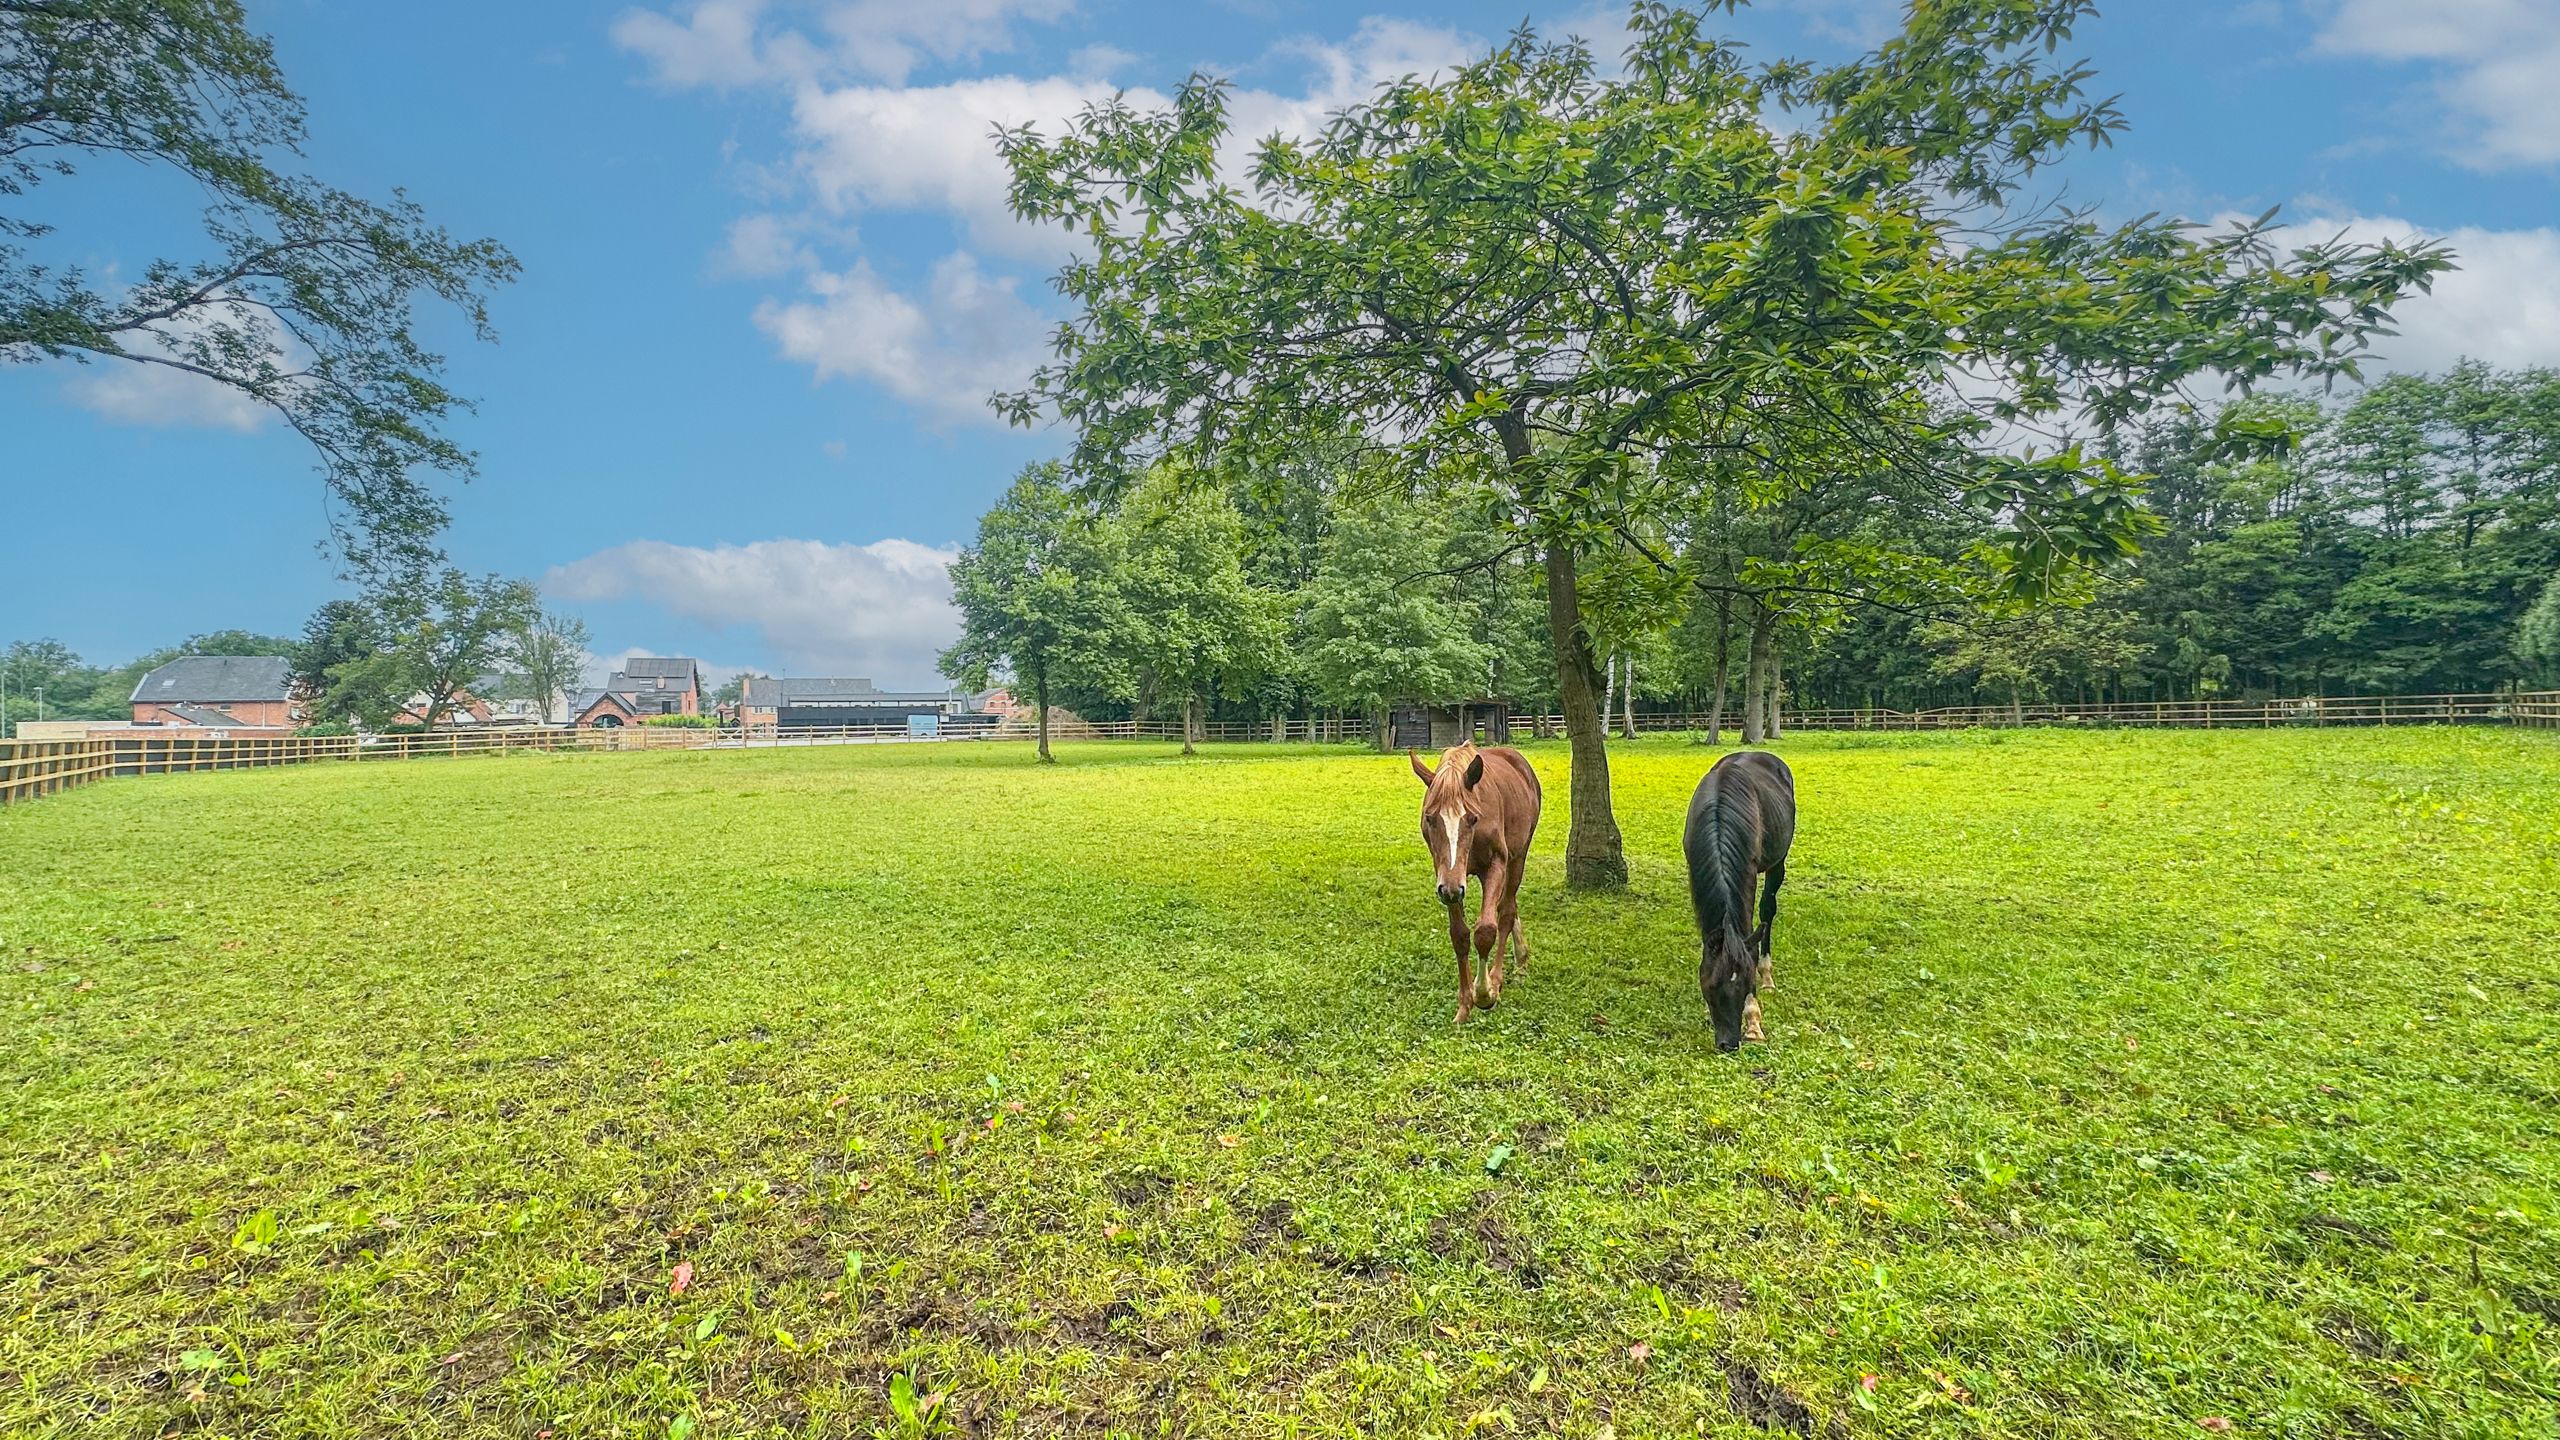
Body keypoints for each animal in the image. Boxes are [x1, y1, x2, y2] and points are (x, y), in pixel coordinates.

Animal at [1423, 737, 1536, 1019]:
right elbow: (1460, 935)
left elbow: (1486, 930)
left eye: (1472, 818)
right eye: (1430, 818)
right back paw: (1521, 957)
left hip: (1518, 858)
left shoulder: (1495, 864)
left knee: (1506, 912)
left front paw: (1485, 993)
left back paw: (1500, 975)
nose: (1451, 889)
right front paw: (1465, 1005)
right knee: (1508, 906)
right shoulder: (1448, 880)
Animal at [1679, 743, 1802, 1050]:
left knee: (1767, 911)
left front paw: (1754, 1022)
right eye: (1710, 986)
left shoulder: (1748, 870)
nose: (1729, 1043)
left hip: (1777, 862)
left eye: (1747, 984)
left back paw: (1767, 974)